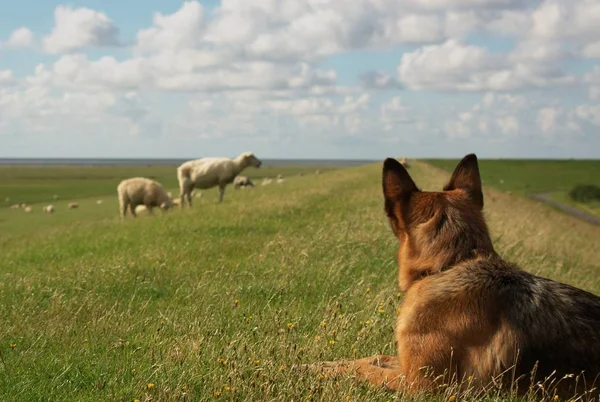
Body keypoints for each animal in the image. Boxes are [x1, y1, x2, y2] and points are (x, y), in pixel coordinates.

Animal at [308, 154, 600, 398]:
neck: (452, 263)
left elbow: (366, 370)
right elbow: (370, 359)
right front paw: (319, 364)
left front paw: (322, 370)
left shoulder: (419, 384)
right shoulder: (406, 364)